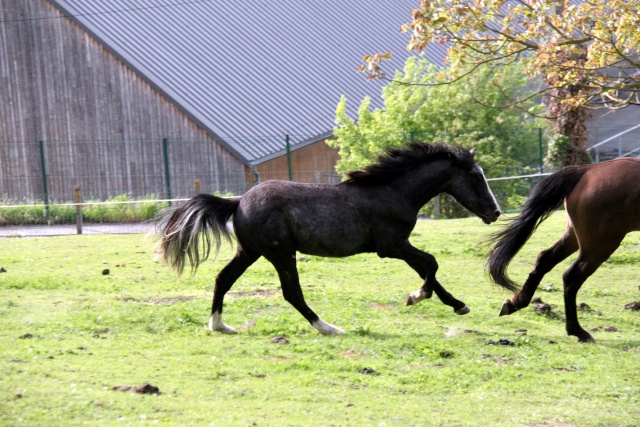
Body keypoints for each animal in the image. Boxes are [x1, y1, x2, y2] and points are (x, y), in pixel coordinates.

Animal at [156, 142, 500, 336]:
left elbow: (428, 269)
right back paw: (329, 328)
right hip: (281, 254)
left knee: (223, 279)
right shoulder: (391, 247)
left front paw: (458, 305)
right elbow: (432, 263)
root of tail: (238, 201)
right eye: (475, 175)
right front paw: (416, 296)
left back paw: (219, 325)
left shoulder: (400, 246)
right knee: (292, 293)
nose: (494, 212)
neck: (393, 191)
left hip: (250, 251)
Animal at [488, 156, 640, 342]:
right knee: (571, 277)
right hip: (599, 244)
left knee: (544, 259)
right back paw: (577, 331)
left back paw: (517, 303)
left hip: (575, 236)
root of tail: (586, 170)